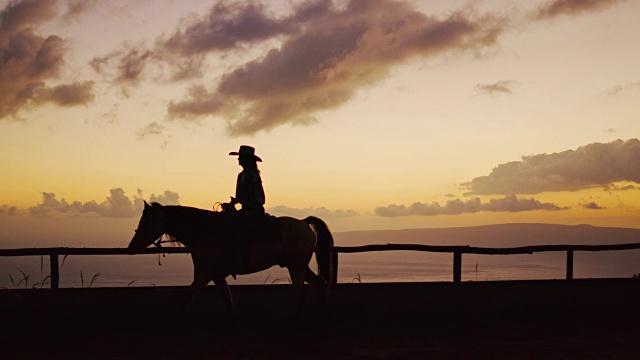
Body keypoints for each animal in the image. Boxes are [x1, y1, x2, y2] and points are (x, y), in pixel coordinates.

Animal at [125, 201, 336, 316]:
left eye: (146, 220)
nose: (131, 247)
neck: (206, 231)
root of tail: (303, 223)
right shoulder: (215, 275)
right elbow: (227, 298)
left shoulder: (205, 273)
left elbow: (188, 294)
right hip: (299, 266)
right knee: (318, 282)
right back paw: (324, 311)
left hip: (296, 267)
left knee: (301, 291)